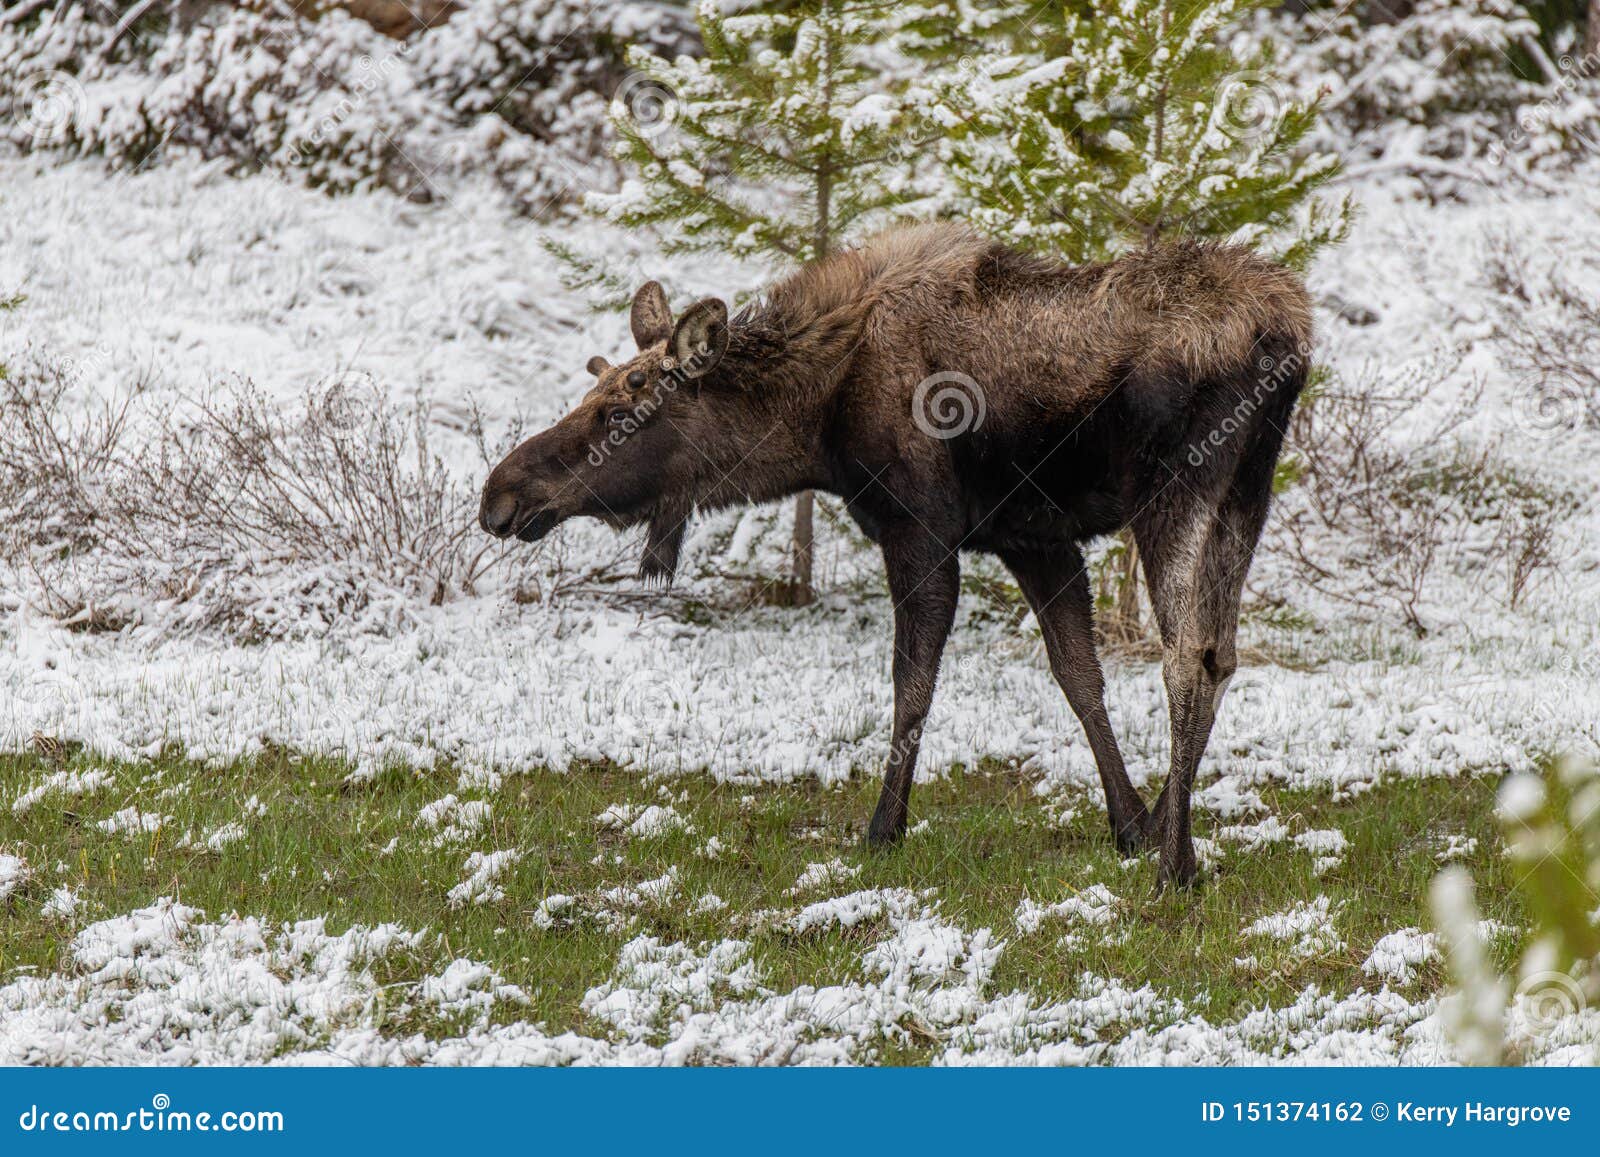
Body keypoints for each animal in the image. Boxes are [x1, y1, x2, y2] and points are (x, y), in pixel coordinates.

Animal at [480, 224, 1305, 889]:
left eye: (622, 409)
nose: (500, 494)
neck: (818, 427)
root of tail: (1287, 333)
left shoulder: (921, 529)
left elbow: (912, 684)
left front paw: (884, 826)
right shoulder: (1033, 537)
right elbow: (1079, 676)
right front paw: (1127, 821)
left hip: (1177, 488)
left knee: (1188, 654)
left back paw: (1178, 865)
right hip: (1247, 492)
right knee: (1222, 653)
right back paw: (1168, 825)